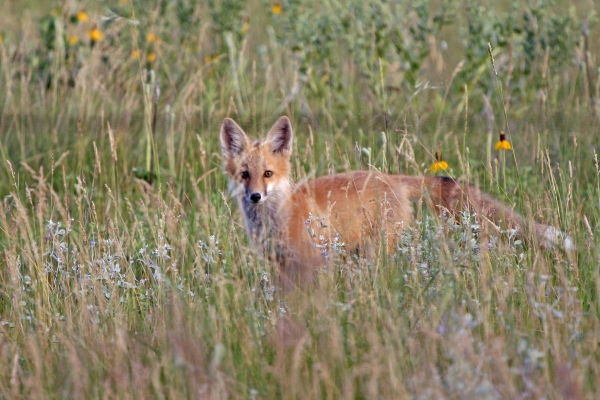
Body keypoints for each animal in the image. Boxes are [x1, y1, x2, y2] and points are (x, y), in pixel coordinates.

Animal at [219, 115, 572, 288]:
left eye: (268, 173)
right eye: (244, 175)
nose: (255, 196)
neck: (276, 218)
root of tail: (390, 177)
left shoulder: (311, 263)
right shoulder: (281, 265)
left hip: (379, 252)